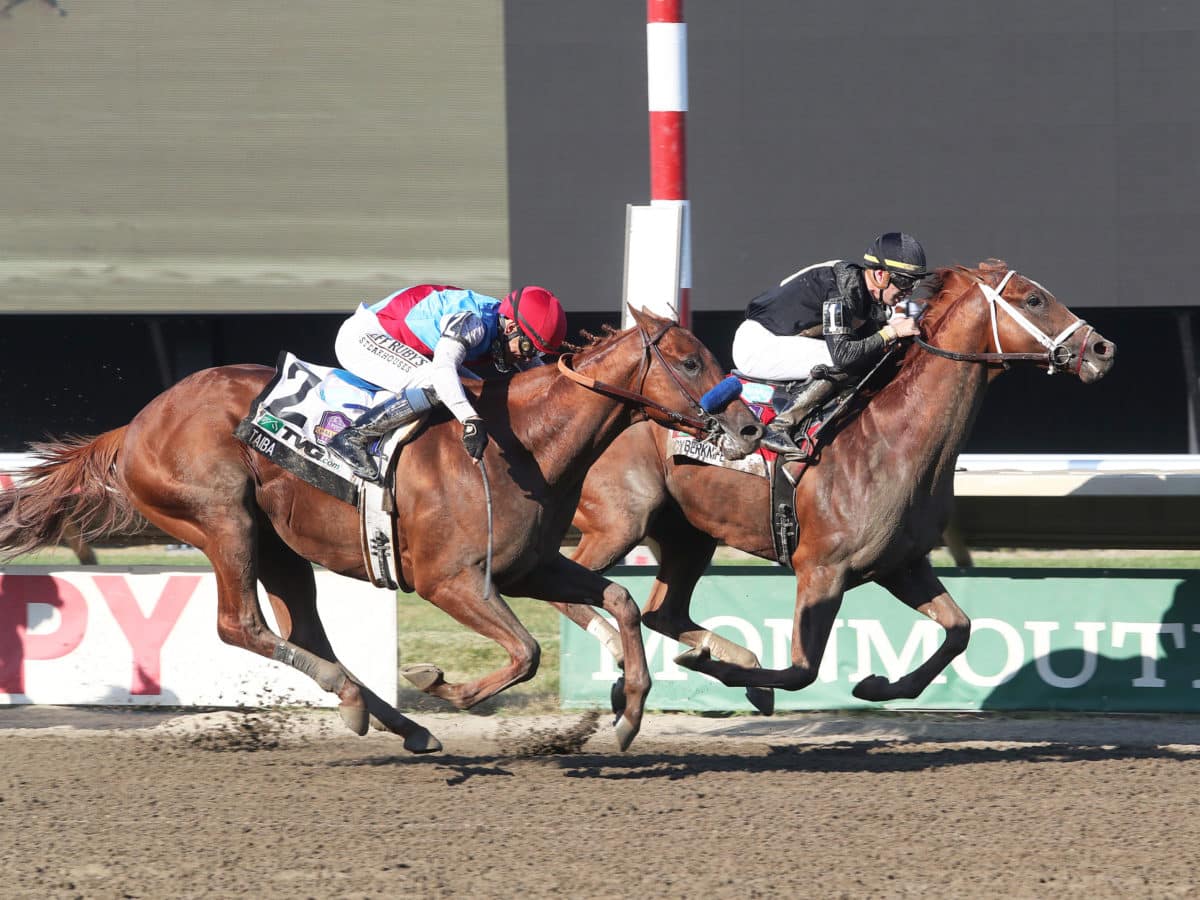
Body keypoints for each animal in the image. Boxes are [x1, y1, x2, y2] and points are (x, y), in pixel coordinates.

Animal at [0, 307, 763, 748]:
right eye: (689, 360)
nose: (751, 426)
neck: (525, 444)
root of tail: (135, 425)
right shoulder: (451, 581)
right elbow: (526, 653)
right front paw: (439, 681)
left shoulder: (530, 567)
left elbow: (622, 602)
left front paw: (629, 712)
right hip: (223, 519)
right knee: (240, 625)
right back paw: (367, 702)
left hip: (281, 545)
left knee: (304, 631)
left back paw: (393, 720)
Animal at [561, 262, 1113, 720]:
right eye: (1034, 299)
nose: (1103, 349)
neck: (891, 439)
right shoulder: (821, 569)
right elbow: (801, 670)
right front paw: (728, 674)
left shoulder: (900, 564)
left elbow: (960, 630)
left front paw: (877, 685)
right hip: (619, 522)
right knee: (575, 585)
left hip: (688, 535)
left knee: (662, 610)